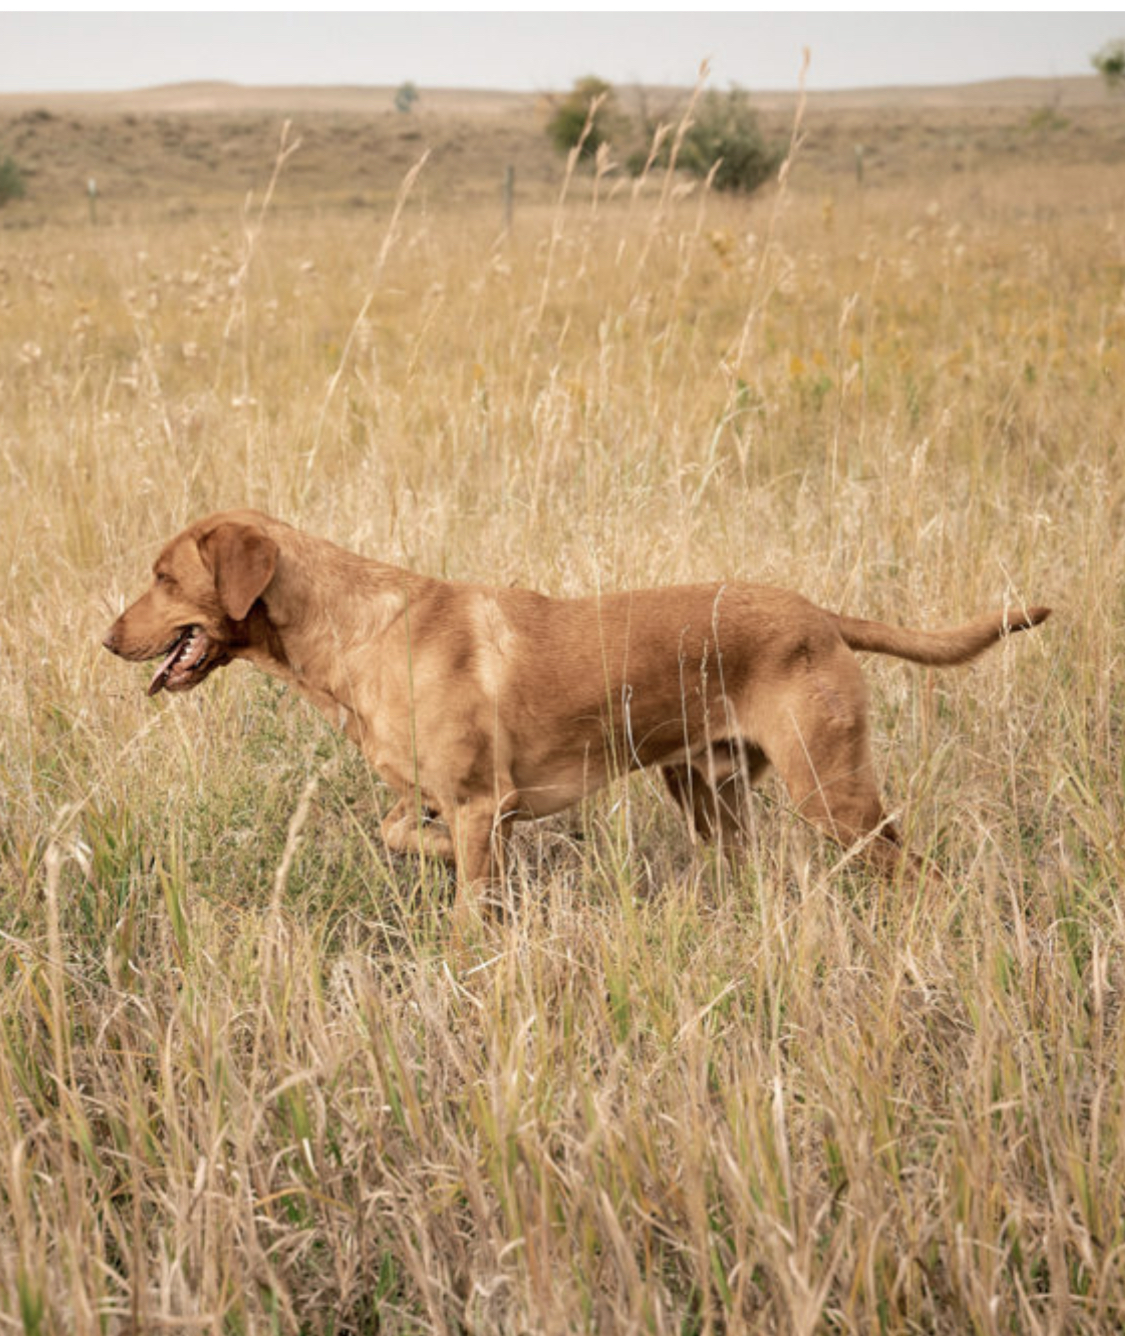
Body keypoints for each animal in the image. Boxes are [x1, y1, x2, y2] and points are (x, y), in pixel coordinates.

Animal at [100, 510, 1047, 919]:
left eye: (163, 575)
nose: (107, 638)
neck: (353, 631)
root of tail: (820, 614)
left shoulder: (479, 801)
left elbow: (468, 900)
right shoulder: (436, 798)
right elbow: (399, 831)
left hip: (833, 793)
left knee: (919, 872)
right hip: (708, 796)